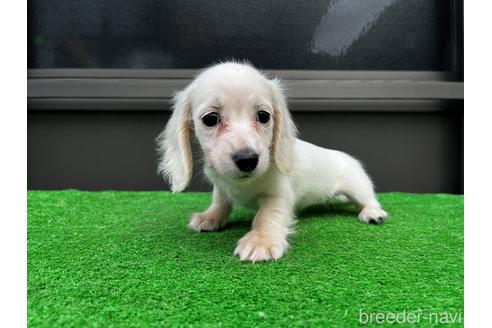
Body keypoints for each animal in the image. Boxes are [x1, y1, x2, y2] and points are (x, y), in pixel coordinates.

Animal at [158, 60, 388, 262]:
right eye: (210, 119)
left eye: (263, 116)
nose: (247, 160)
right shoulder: (221, 187)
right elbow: (220, 201)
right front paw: (210, 217)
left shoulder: (279, 195)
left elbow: (266, 215)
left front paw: (261, 241)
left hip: (357, 185)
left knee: (369, 200)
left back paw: (373, 213)